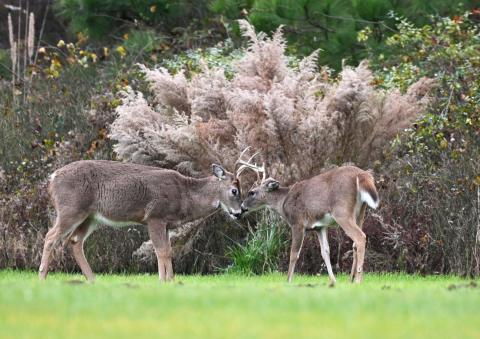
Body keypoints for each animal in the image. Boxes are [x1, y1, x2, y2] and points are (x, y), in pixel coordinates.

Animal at [39, 152, 255, 284]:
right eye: (234, 190)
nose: (239, 212)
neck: (184, 195)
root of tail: (53, 177)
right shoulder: (155, 216)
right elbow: (161, 251)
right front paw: (162, 281)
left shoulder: (167, 223)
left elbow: (169, 251)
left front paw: (171, 281)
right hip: (71, 208)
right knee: (50, 236)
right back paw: (42, 277)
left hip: (91, 217)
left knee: (75, 241)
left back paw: (92, 280)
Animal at [239, 160, 378, 286]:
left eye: (251, 192)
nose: (241, 207)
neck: (283, 203)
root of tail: (362, 174)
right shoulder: (320, 227)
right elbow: (325, 252)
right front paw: (333, 281)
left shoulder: (297, 223)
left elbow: (294, 253)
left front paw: (288, 280)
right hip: (360, 212)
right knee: (355, 243)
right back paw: (351, 279)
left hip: (342, 212)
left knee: (360, 237)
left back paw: (358, 280)